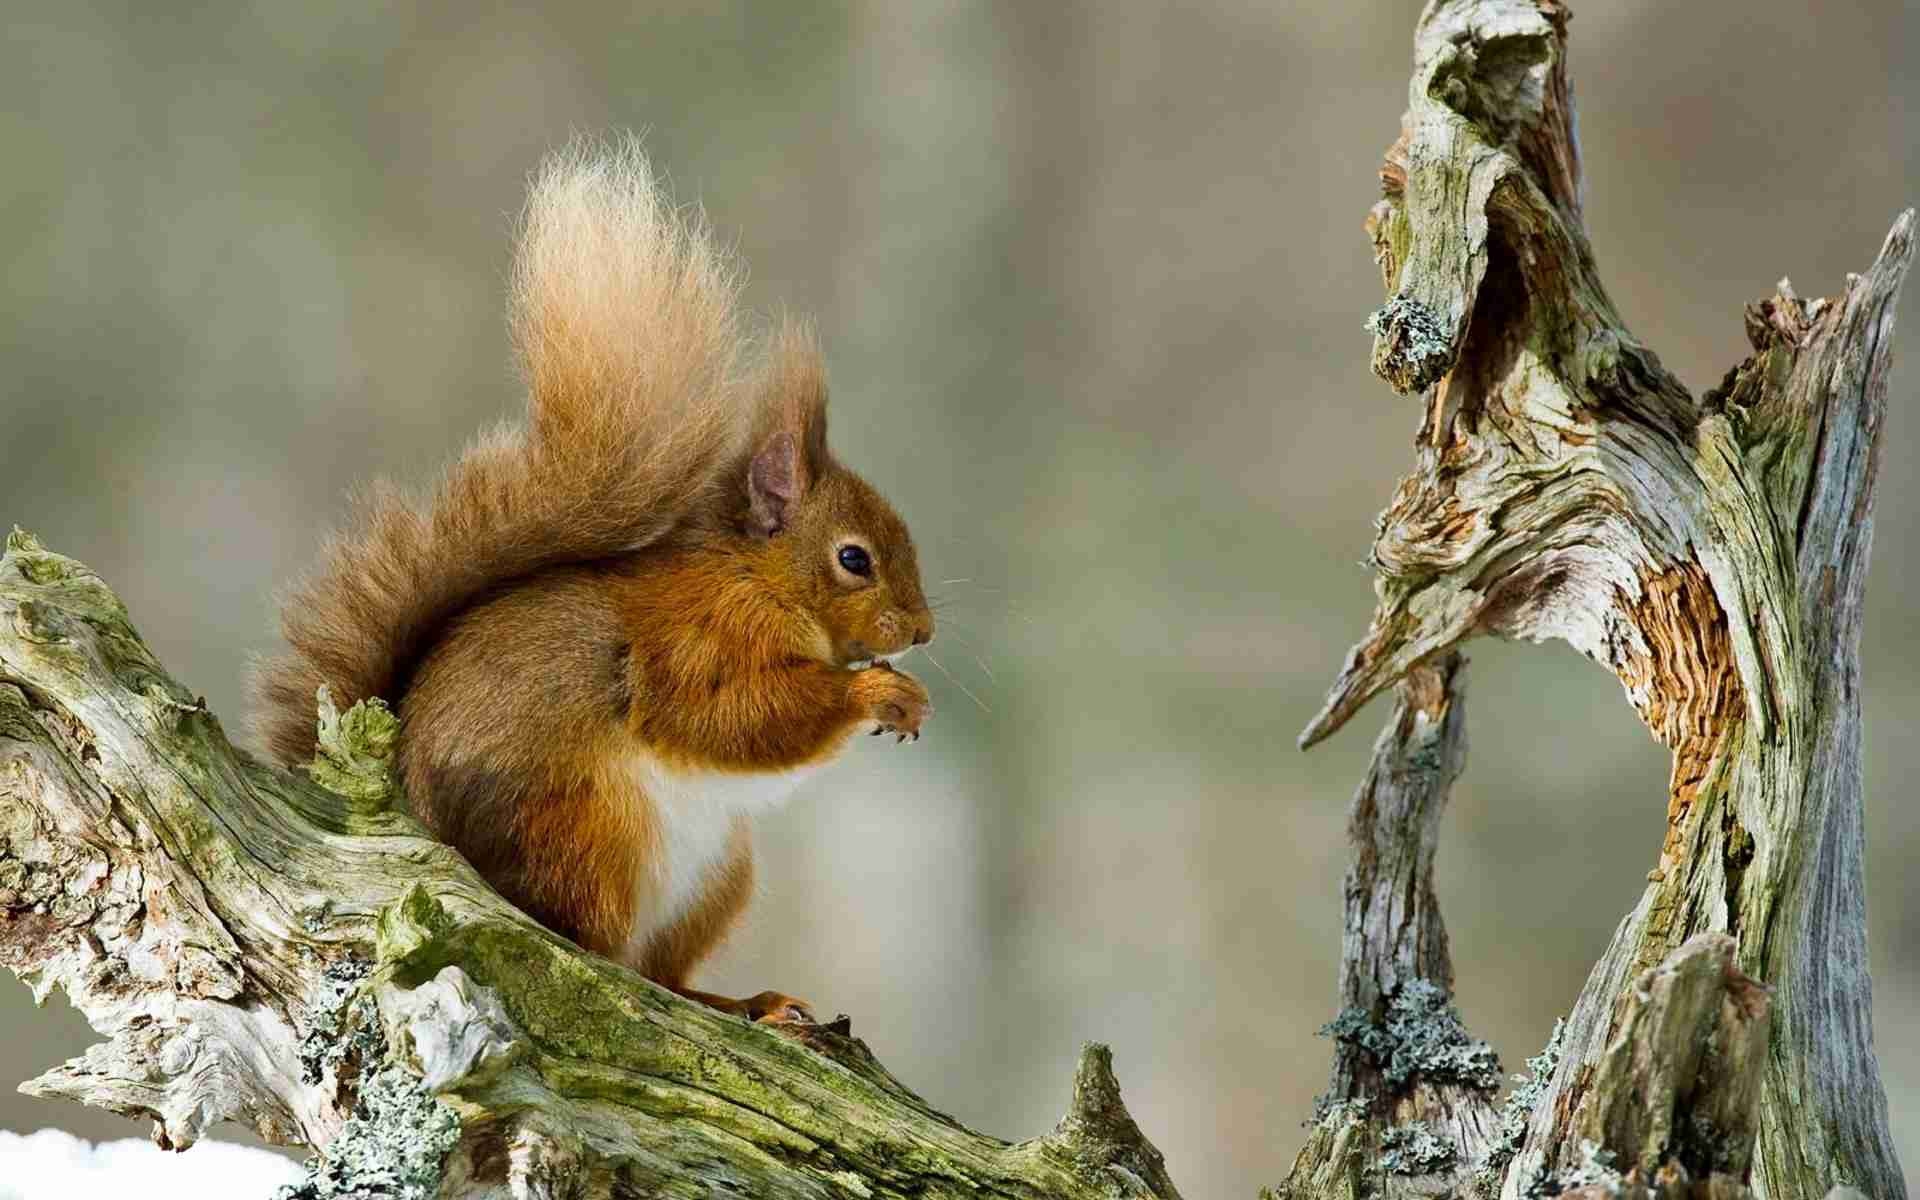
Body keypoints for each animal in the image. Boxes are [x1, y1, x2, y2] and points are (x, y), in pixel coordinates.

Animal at [251, 139, 934, 1024]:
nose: (922, 632)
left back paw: (744, 1003)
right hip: (589, 832)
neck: (756, 578)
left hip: (716, 876)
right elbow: (735, 716)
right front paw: (877, 693)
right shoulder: (693, 641)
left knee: (661, 971)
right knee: (596, 949)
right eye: (855, 559)